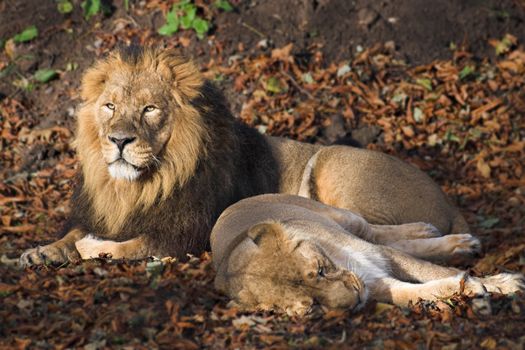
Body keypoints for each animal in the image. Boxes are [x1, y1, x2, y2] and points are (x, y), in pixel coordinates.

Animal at [20, 46, 470, 266]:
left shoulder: (189, 233)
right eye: (110, 106)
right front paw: (44, 250)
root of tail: (448, 200)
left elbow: (132, 247)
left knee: (369, 233)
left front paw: (90, 249)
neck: (139, 186)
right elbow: (74, 233)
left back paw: (445, 242)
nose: (118, 140)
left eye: (149, 109)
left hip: (331, 163)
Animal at [211, 194, 520, 318]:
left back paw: (442, 237)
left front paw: (502, 284)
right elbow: (417, 291)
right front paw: (468, 290)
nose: (357, 300)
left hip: (343, 218)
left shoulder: (378, 256)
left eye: (320, 270)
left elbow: (433, 271)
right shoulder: (376, 282)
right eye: (311, 306)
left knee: (376, 232)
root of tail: (232, 205)